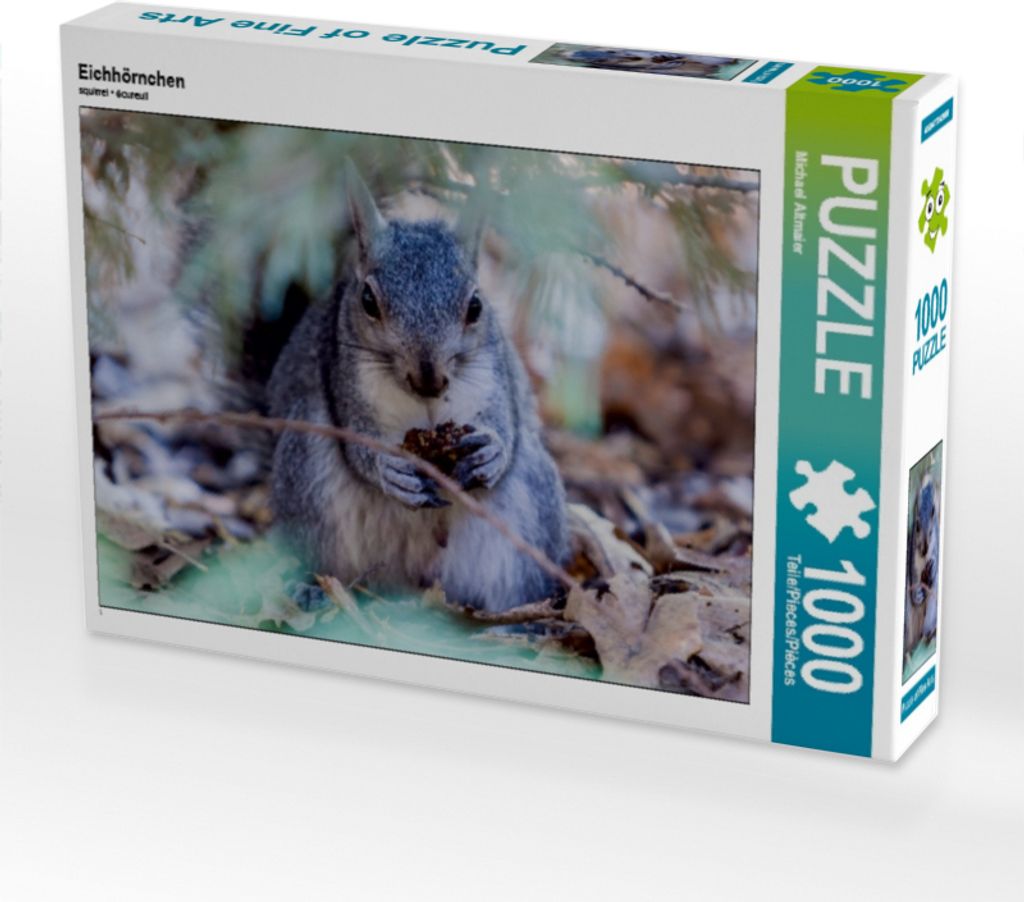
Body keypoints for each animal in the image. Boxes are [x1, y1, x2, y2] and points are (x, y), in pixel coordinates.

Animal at [267, 163, 569, 613]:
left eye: (476, 305)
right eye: (367, 300)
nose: (430, 377)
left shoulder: (496, 375)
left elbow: (507, 423)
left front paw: (491, 452)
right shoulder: (342, 379)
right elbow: (357, 443)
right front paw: (389, 469)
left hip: (530, 508)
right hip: (305, 477)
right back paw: (310, 590)